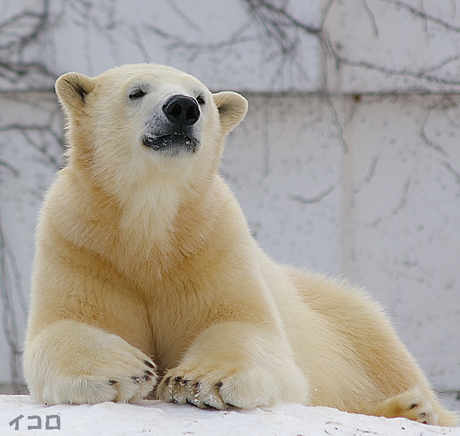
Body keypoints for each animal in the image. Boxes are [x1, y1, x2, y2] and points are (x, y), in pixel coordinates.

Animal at [24, 63, 456, 428]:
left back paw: (415, 408)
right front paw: (123, 370)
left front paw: (200, 380)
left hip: (350, 320)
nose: (181, 108)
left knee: (384, 354)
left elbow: (241, 324)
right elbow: (67, 323)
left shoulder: (211, 244)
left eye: (200, 97)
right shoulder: (81, 243)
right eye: (136, 91)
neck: (151, 226)